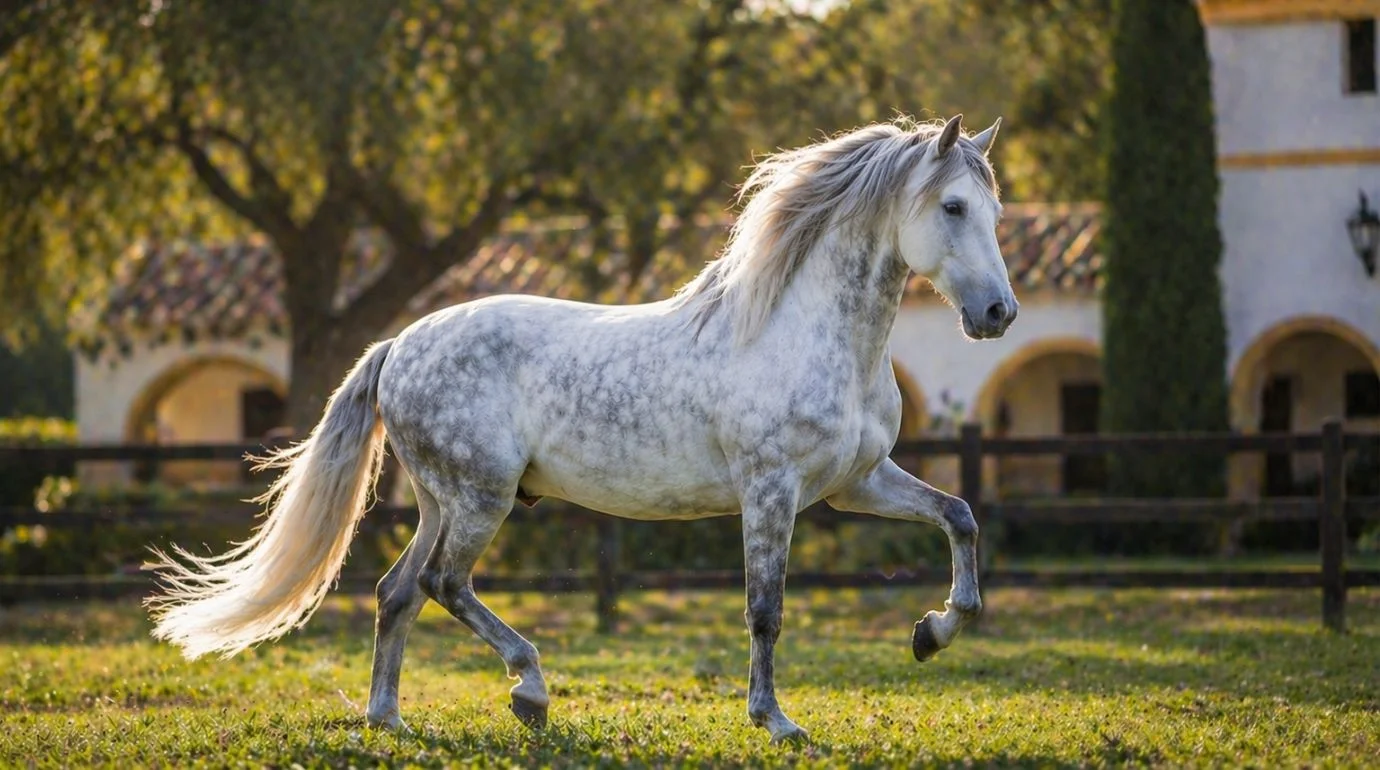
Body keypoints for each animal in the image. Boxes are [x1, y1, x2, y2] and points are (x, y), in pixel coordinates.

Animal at [145, 113, 1017, 744]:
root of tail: (400, 343)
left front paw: (932, 633)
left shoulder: (853, 485)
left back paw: (388, 717)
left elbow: (961, 517)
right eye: (952, 207)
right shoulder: (770, 491)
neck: (801, 330)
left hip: (440, 501)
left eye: (995, 210)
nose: (997, 314)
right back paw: (529, 691)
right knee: (442, 585)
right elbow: (764, 610)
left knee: (397, 593)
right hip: (483, 496)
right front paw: (776, 722)